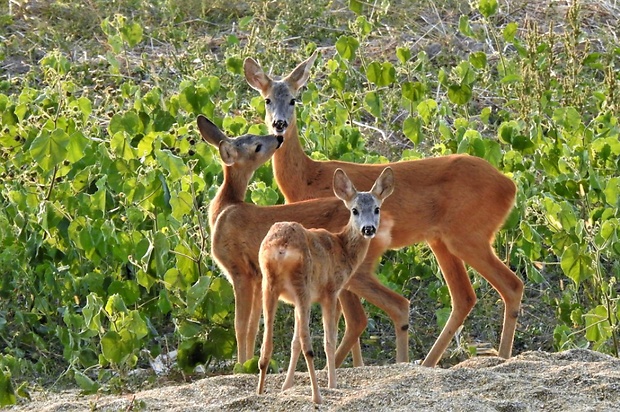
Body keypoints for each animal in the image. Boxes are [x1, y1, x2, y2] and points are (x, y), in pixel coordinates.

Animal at [199, 113, 392, 366]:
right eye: (255, 144)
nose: (277, 137)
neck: (225, 209)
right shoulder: (256, 276)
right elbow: (252, 327)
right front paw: (248, 363)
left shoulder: (240, 271)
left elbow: (240, 325)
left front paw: (241, 366)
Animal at [242, 50, 524, 366]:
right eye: (267, 99)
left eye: (293, 99)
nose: (279, 124)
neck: (308, 178)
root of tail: (509, 186)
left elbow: (350, 320)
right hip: (441, 240)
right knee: (464, 296)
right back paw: (430, 362)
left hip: (468, 235)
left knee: (511, 285)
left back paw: (501, 356)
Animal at [258, 166, 394, 404]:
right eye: (354, 210)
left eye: (377, 208)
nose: (368, 229)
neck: (342, 248)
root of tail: (282, 247)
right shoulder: (330, 291)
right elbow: (329, 339)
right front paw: (333, 384)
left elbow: (293, 342)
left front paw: (286, 387)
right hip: (303, 286)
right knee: (308, 344)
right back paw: (317, 396)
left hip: (270, 285)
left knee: (267, 345)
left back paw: (259, 393)